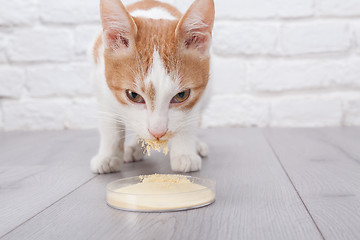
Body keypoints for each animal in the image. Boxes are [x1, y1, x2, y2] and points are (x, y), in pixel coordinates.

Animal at [90, 0, 214, 173]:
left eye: (181, 95)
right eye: (133, 95)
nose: (158, 132)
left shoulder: (199, 92)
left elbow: (188, 120)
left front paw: (184, 154)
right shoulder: (102, 86)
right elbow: (110, 126)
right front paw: (108, 156)